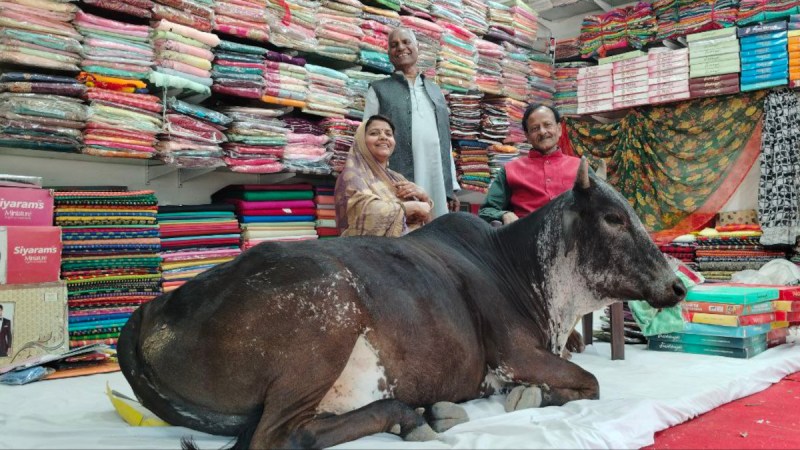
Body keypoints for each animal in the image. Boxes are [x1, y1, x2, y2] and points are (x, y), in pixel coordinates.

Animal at [117, 160, 686, 449]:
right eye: (613, 217)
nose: (679, 286)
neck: (527, 272)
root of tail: (149, 311)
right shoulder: (515, 354)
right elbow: (589, 383)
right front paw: (533, 395)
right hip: (328, 318)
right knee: (279, 437)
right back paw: (411, 416)